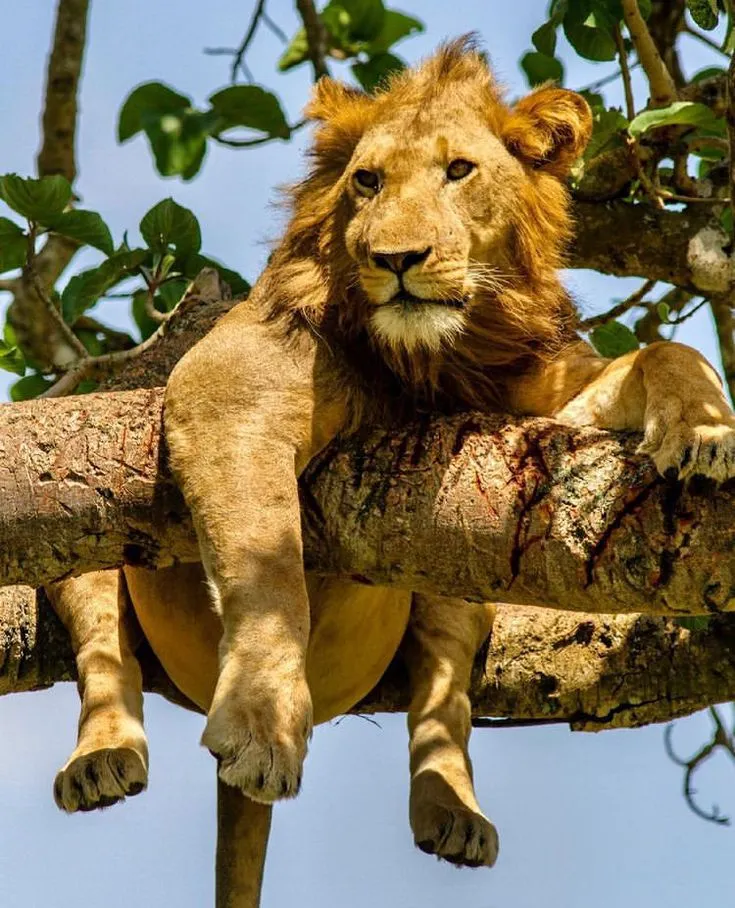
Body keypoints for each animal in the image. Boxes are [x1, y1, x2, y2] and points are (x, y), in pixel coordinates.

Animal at [46, 36, 735, 907]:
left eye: (458, 171)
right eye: (366, 182)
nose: (396, 259)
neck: (434, 357)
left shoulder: (544, 395)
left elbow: (665, 351)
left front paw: (705, 428)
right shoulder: (226, 388)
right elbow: (271, 574)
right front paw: (262, 727)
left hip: (456, 576)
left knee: (443, 696)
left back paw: (451, 813)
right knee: (105, 652)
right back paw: (101, 760)